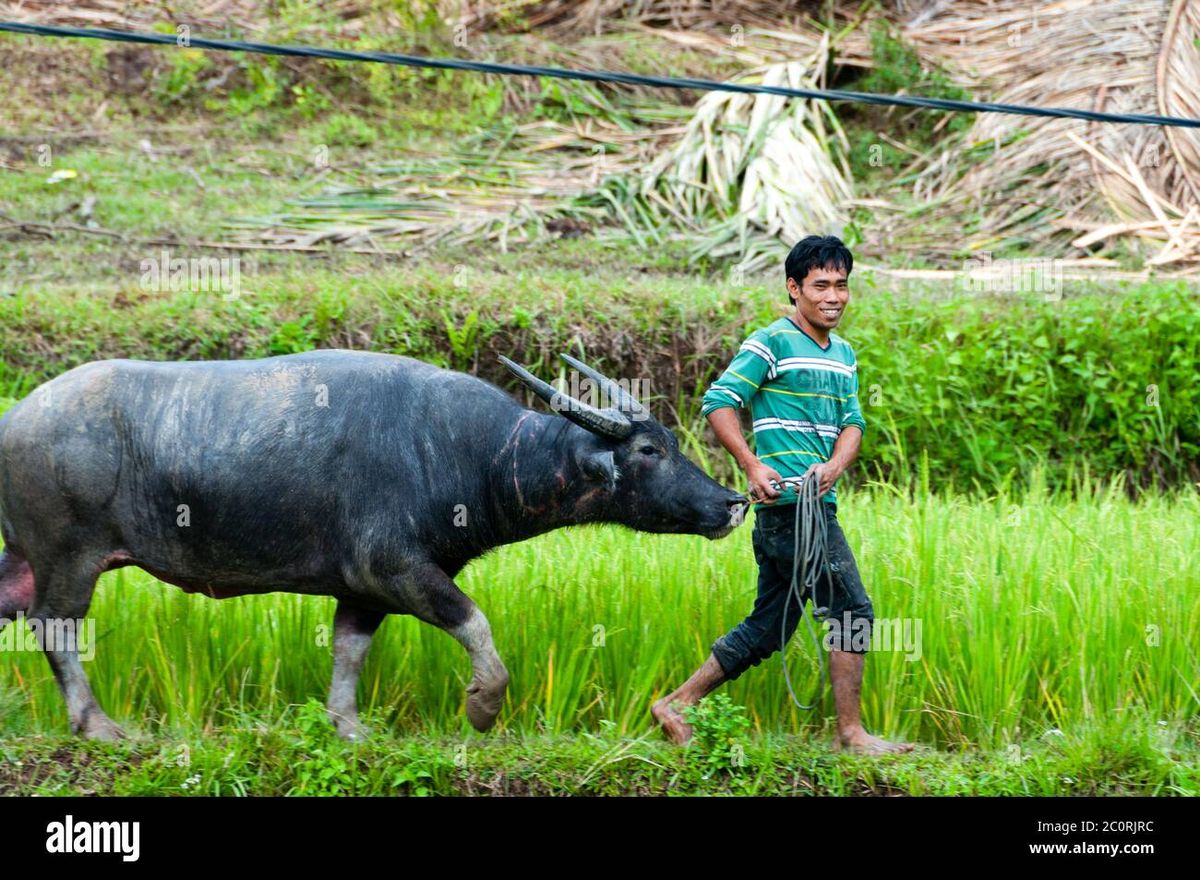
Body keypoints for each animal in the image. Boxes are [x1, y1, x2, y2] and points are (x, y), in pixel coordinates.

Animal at [0, 345, 744, 739]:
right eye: (648, 450)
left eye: (672, 441)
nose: (733, 502)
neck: (468, 452)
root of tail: (17, 417)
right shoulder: (395, 568)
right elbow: (475, 622)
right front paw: (482, 707)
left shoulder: (362, 590)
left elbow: (348, 652)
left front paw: (349, 726)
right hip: (69, 558)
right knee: (56, 626)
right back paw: (96, 724)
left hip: (24, 560)